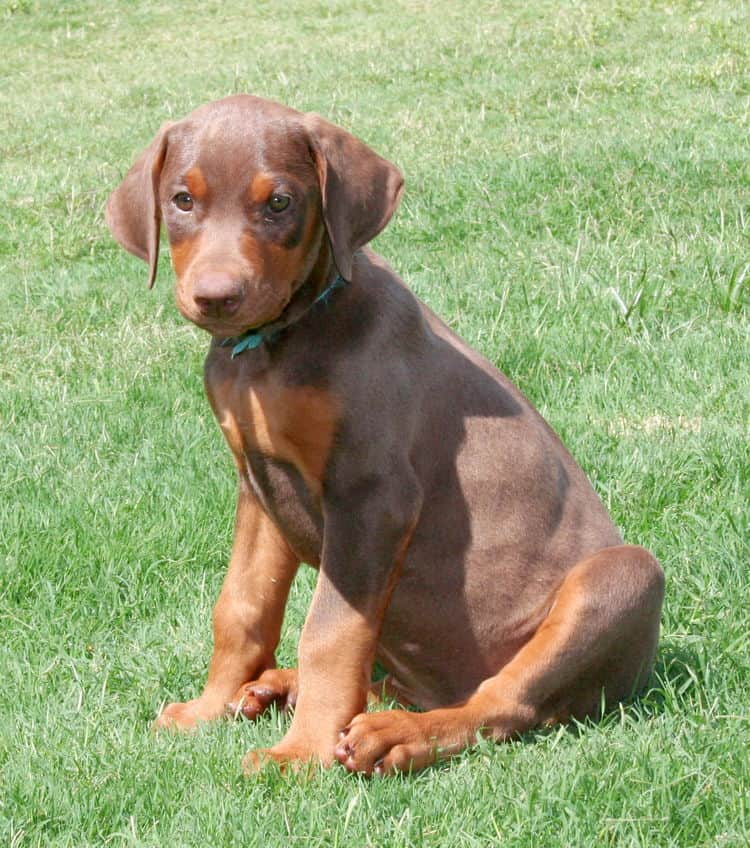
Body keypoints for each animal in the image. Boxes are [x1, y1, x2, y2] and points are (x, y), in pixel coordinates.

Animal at [106, 94, 664, 776]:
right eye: (182, 199)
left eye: (280, 203)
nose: (216, 297)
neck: (277, 345)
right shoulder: (258, 485)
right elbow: (241, 606)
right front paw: (207, 709)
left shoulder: (372, 495)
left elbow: (330, 630)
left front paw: (302, 754)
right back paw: (279, 688)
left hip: (622, 578)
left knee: (499, 707)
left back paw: (394, 735)